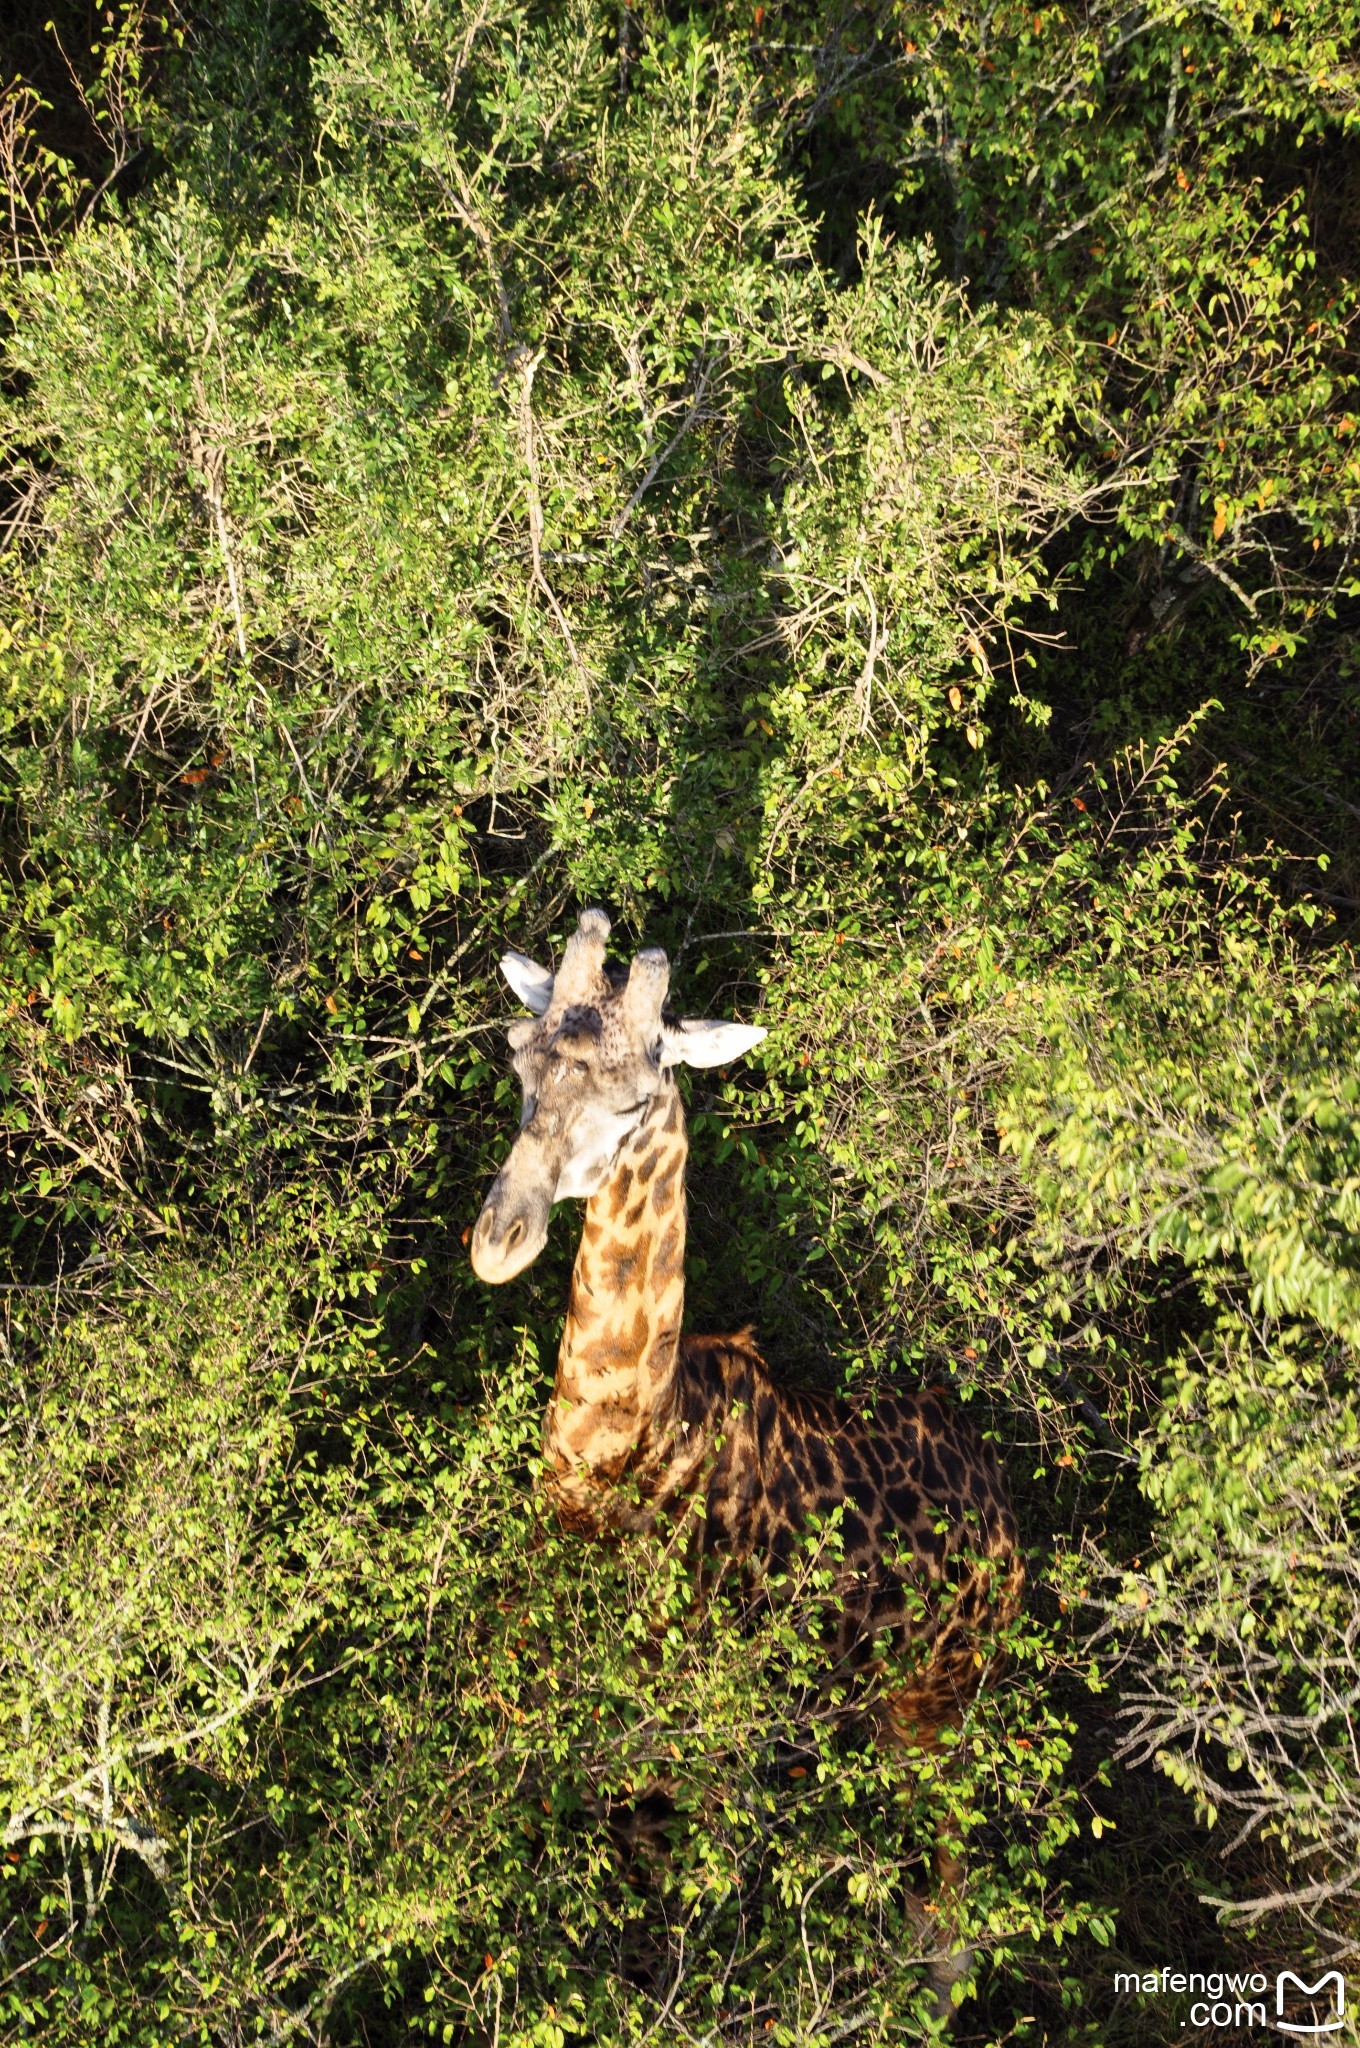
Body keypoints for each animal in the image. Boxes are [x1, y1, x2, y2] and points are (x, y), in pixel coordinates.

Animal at [473, 905, 1024, 2007]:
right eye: (517, 1058)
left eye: (634, 1098)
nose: (498, 1241)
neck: (623, 1468)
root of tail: (1012, 1530)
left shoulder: (688, 1758)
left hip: (935, 1707)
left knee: (947, 1902)